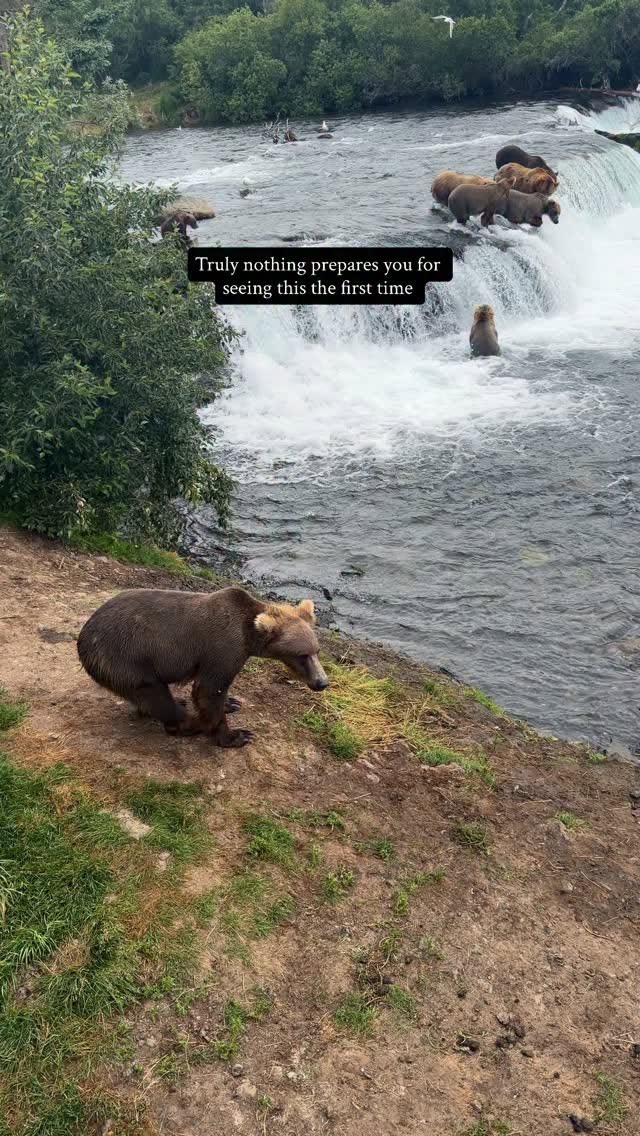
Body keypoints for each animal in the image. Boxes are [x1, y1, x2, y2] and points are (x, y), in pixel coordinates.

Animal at [77, 586, 329, 748]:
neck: (249, 637)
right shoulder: (223, 647)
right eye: (302, 655)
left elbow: (213, 693)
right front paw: (237, 735)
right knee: (155, 695)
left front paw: (232, 702)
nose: (322, 682)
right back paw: (187, 723)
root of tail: (83, 639)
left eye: (317, 651)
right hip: (126, 659)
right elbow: (209, 689)